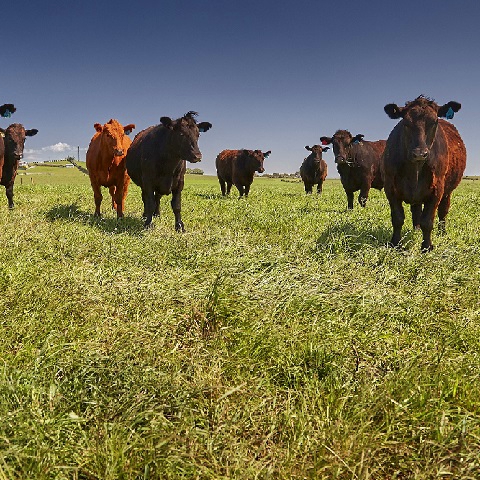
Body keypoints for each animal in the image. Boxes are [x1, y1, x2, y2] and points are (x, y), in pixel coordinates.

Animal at [382, 94, 464, 251]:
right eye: (405, 122)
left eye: (434, 122)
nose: (419, 153)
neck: (415, 170)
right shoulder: (390, 187)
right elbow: (397, 218)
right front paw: (395, 243)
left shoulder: (437, 189)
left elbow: (428, 221)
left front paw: (427, 246)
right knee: (416, 212)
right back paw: (416, 229)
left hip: (447, 191)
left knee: (443, 211)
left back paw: (442, 232)